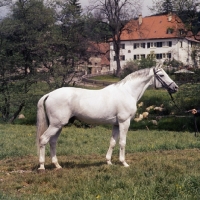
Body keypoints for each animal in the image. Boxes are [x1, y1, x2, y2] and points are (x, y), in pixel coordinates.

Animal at [36, 65, 178, 170]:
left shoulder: (116, 124)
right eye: (161, 75)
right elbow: (122, 142)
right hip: (56, 125)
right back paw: (42, 166)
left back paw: (57, 165)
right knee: (43, 140)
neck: (127, 92)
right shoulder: (124, 122)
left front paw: (109, 162)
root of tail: (49, 94)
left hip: (58, 126)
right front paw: (124, 163)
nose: (175, 87)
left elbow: (112, 142)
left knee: (52, 142)